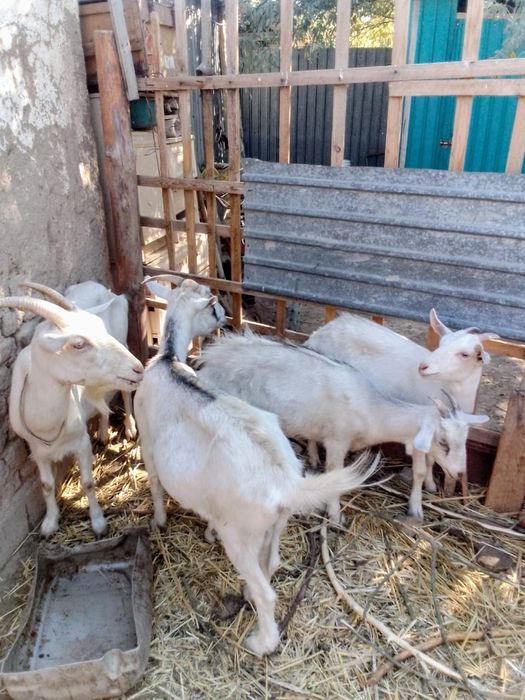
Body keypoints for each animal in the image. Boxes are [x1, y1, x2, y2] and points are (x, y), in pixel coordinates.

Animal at [20, 281, 136, 443]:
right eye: (79, 344)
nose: (139, 368)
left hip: (123, 344)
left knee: (125, 390)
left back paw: (130, 428)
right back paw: (103, 434)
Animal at [134, 279, 379, 656]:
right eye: (212, 306)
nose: (223, 318)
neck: (169, 360)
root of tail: (283, 482)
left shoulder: (147, 441)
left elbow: (156, 486)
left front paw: (158, 522)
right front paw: (206, 531)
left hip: (240, 535)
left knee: (267, 592)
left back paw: (261, 642)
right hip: (274, 525)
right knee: (271, 564)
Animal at [197, 332, 488, 521]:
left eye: (464, 440)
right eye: (443, 441)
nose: (460, 471)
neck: (372, 410)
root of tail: (208, 362)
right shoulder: (337, 440)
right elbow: (335, 475)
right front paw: (335, 516)